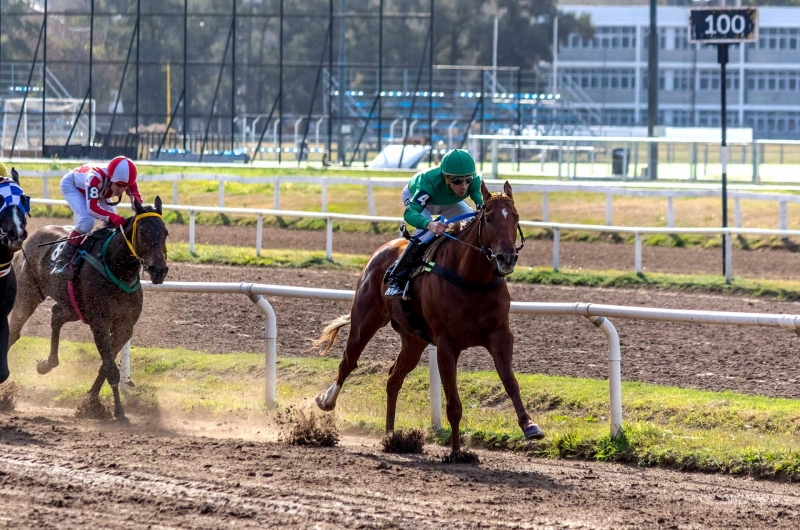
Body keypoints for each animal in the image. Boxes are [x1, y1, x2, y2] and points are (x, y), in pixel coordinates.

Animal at [9, 196, 169, 418]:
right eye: (142, 232)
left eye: (165, 232)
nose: (159, 270)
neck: (117, 268)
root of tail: (34, 236)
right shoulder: (99, 323)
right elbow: (111, 368)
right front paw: (117, 410)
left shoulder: (124, 327)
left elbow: (106, 365)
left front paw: (90, 402)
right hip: (27, 295)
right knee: (14, 332)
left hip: (73, 306)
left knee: (56, 314)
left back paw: (47, 364)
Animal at [312, 182, 544, 454]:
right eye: (488, 218)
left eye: (515, 217)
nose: (506, 258)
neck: (472, 280)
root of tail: (379, 252)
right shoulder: (446, 344)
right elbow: (453, 403)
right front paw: (456, 452)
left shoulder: (500, 336)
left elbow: (510, 381)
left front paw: (530, 426)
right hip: (364, 320)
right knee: (348, 363)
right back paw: (327, 401)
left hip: (414, 340)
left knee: (393, 378)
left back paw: (391, 436)